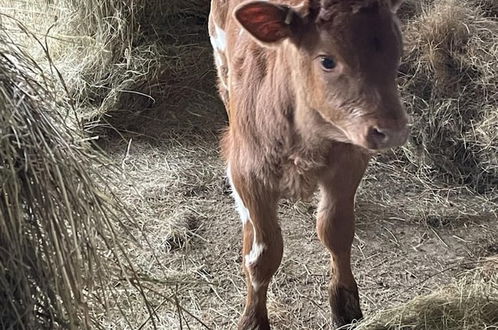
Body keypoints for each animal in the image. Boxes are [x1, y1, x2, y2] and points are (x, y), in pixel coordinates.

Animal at [210, 1, 408, 328]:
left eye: (397, 49)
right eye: (327, 61)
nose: (392, 130)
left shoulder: (349, 160)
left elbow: (335, 231)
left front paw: (345, 306)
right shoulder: (246, 172)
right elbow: (263, 255)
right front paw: (253, 318)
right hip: (221, 57)